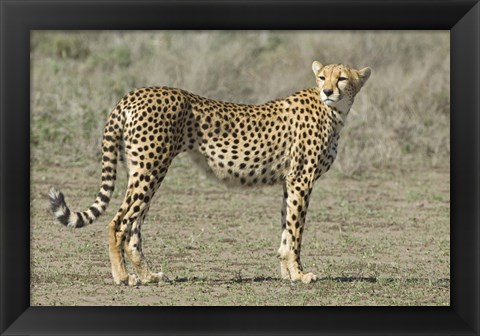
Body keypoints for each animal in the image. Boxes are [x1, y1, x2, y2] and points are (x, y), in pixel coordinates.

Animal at [48, 61, 372, 284]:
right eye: (322, 77)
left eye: (342, 78)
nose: (328, 91)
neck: (334, 111)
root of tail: (133, 94)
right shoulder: (301, 180)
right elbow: (296, 233)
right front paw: (300, 275)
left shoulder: (288, 182)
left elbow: (286, 229)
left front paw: (286, 273)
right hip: (151, 169)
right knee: (118, 223)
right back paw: (123, 277)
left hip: (142, 170)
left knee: (134, 228)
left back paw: (149, 276)